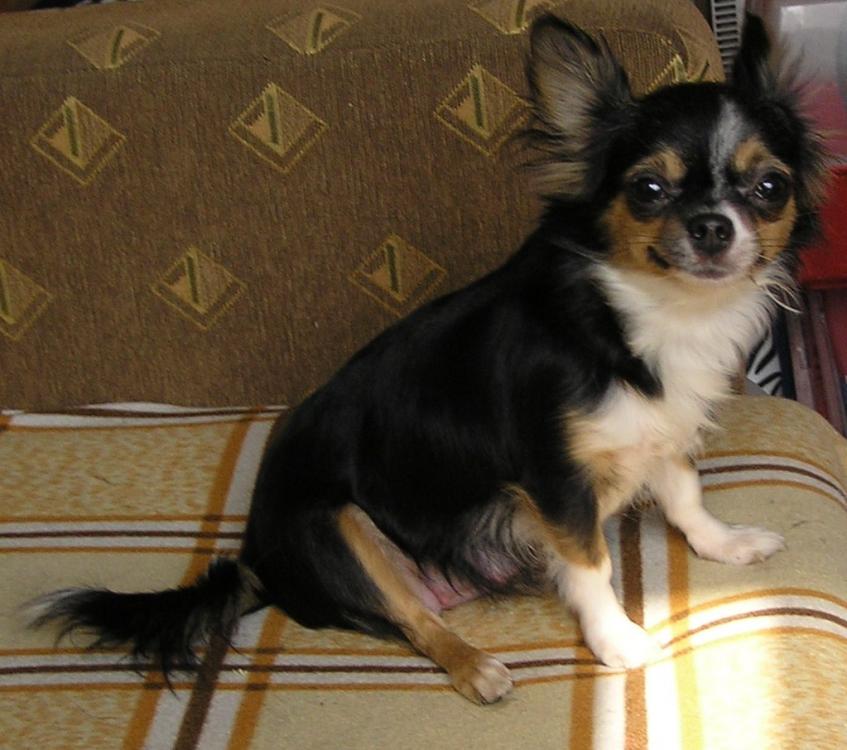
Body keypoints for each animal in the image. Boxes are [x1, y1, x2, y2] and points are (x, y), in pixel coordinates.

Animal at [31, 14, 826, 704]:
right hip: (334, 528)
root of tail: (257, 559)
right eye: (648, 189)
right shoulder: (553, 481)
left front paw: (724, 545)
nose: (713, 226)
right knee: (415, 623)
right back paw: (477, 668)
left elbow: (685, 495)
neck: (642, 314)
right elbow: (590, 564)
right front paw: (617, 641)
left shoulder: (664, 427)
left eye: (769, 188)